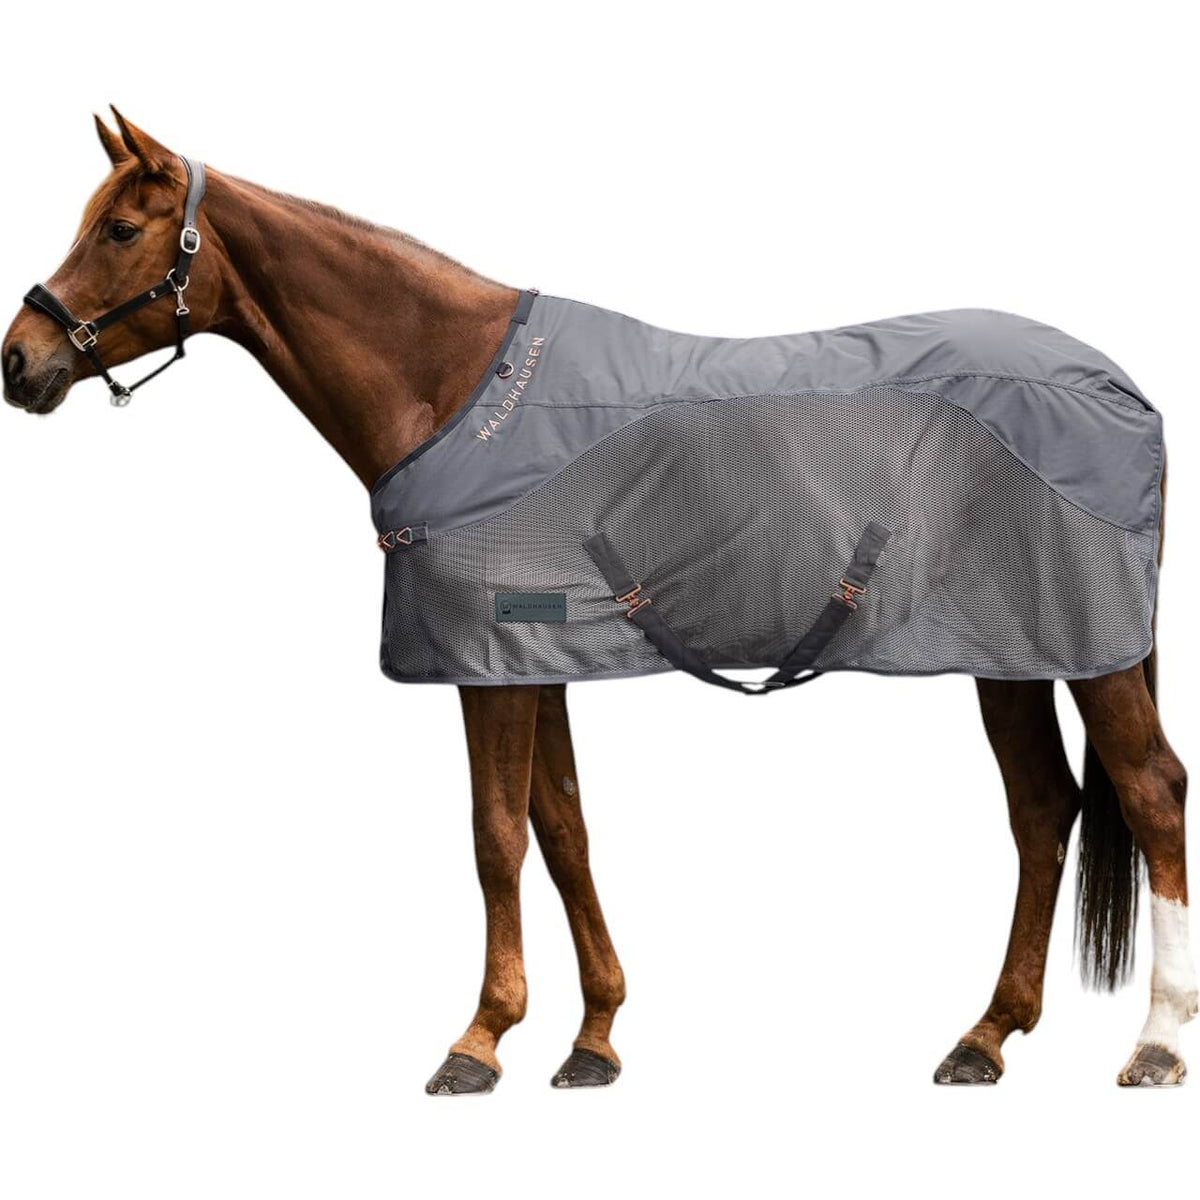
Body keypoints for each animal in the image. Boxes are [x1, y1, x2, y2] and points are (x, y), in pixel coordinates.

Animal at [4, 111, 1196, 1092]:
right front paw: (592, 1040)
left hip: (1087, 655)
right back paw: (984, 1038)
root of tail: (1119, 386)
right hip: (1011, 652)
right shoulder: (538, 661)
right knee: (1043, 810)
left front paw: (479, 1041)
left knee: (1149, 794)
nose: (20, 361)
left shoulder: (488, 665)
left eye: (120, 228)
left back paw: (1156, 1045)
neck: (451, 387)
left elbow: (494, 836)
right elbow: (564, 828)